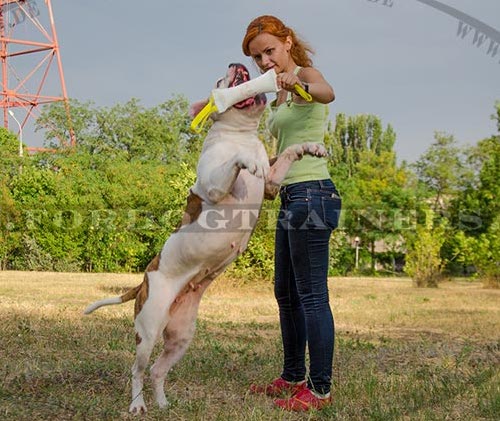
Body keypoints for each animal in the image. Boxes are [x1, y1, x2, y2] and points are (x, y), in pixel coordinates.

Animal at [84, 63, 326, 414]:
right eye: (219, 80)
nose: (236, 65)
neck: (242, 135)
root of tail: (143, 281)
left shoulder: (270, 185)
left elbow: (287, 154)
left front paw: (309, 147)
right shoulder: (214, 185)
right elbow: (234, 162)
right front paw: (246, 160)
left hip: (181, 336)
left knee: (158, 370)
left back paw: (162, 403)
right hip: (148, 329)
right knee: (137, 369)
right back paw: (138, 405)